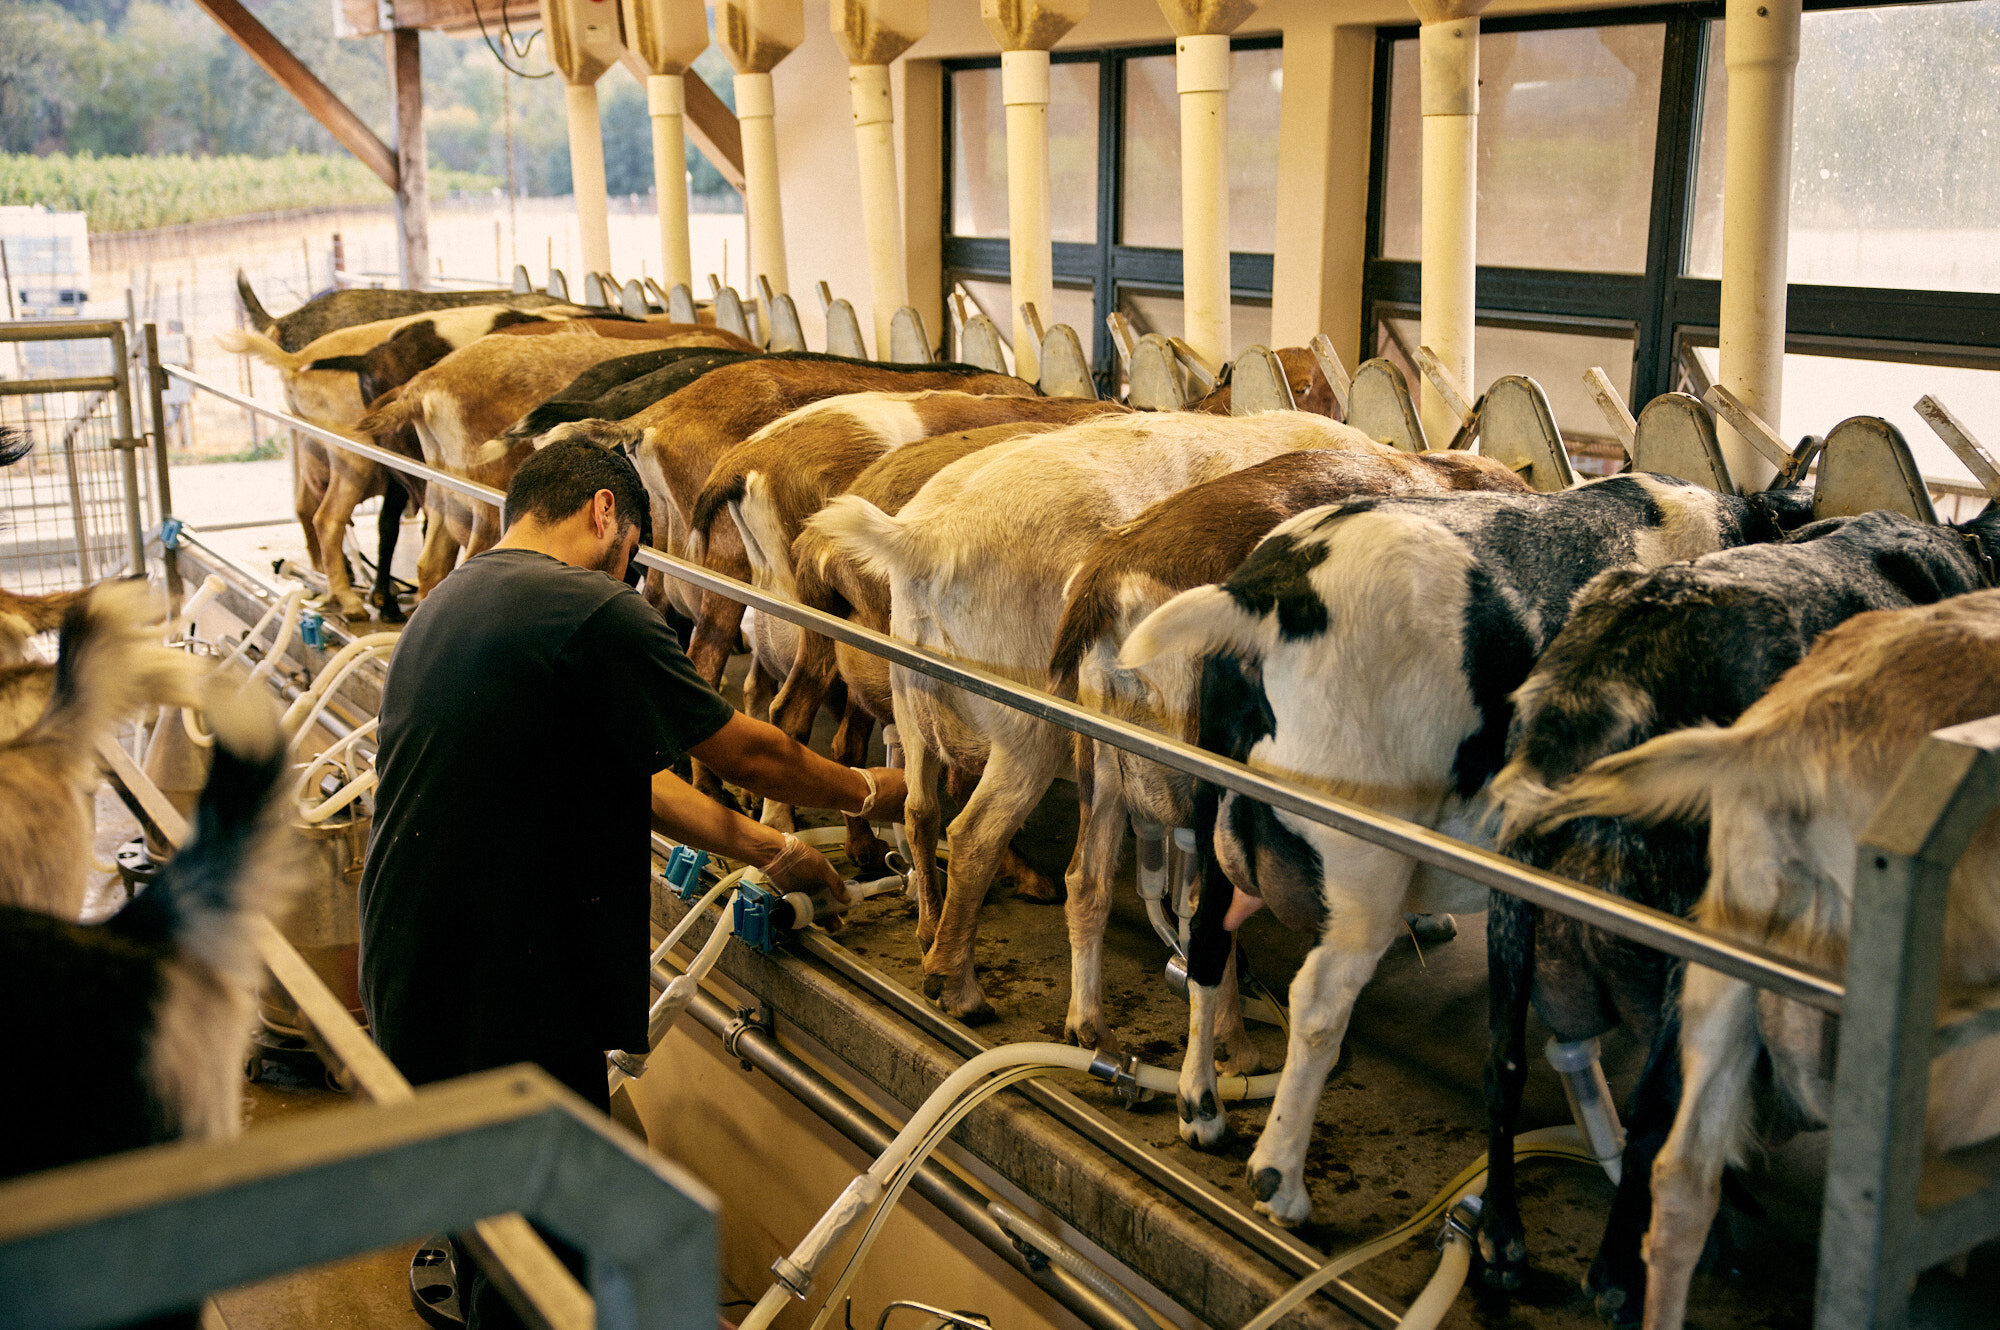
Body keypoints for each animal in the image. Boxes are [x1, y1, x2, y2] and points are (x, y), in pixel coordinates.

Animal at [804, 410, 1352, 1012]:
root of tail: (926, 540)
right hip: (1026, 716)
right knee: (974, 831)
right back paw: (965, 994)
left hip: (908, 682)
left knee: (920, 808)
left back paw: (928, 934)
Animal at [1048, 444, 1528, 1056]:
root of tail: (1112, 581)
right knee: (1205, 906)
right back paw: (1233, 1042)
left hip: (1100, 757)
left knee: (1086, 883)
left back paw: (1088, 1024)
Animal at [1120, 474, 1824, 1224]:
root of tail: (1270, 595)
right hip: (1361, 849)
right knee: (1318, 1000)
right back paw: (1280, 1182)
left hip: (1213, 797)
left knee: (1205, 939)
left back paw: (1202, 1111)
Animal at [1480, 508, 1992, 1320]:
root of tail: (1603, 681)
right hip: (1688, 941)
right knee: (1657, 1115)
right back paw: (1621, 1272)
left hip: (1511, 915)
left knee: (1503, 1066)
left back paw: (1502, 1239)